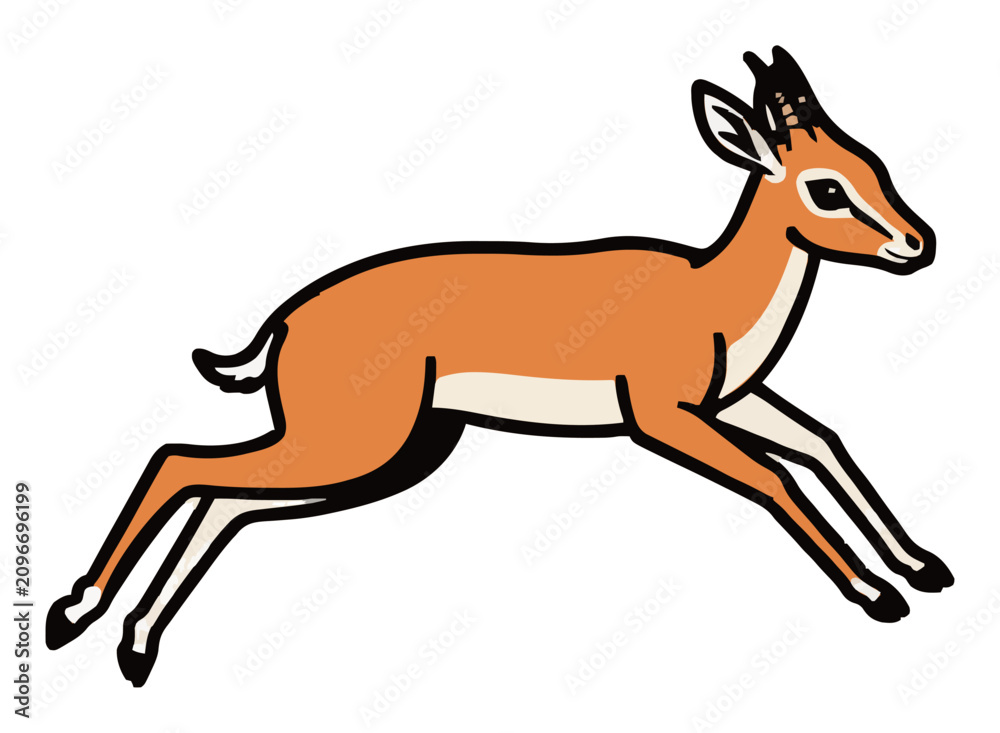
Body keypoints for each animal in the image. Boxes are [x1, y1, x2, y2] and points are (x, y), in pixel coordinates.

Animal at [47, 46, 953, 686]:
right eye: (827, 188)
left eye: (873, 162)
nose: (918, 244)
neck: (711, 294)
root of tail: (286, 318)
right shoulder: (665, 418)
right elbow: (777, 477)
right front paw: (878, 594)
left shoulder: (736, 402)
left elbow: (824, 444)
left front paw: (921, 565)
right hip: (352, 448)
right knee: (178, 461)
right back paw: (73, 613)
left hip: (375, 458)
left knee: (220, 500)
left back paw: (133, 644)